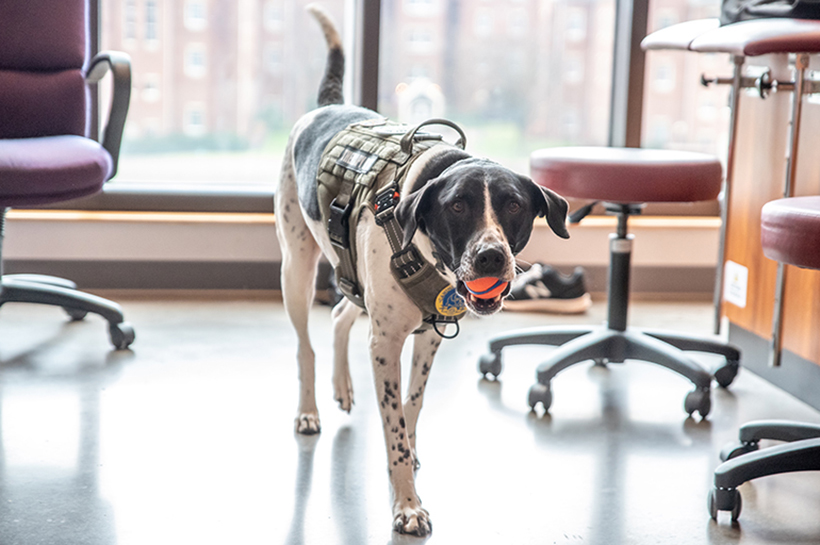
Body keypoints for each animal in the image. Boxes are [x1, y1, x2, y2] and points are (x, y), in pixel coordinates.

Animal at [276, 6, 572, 536]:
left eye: (515, 205)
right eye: (457, 206)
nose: (491, 257)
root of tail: (328, 106)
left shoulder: (427, 335)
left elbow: (410, 408)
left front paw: (410, 460)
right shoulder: (387, 342)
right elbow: (392, 429)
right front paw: (407, 505)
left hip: (356, 284)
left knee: (341, 316)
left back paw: (342, 386)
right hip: (297, 267)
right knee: (304, 345)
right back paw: (308, 409)